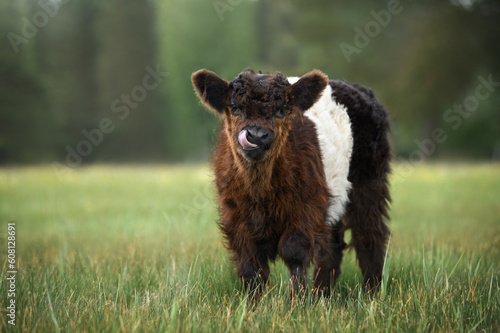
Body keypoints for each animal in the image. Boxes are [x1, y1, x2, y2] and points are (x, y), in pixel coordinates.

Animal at [191, 68, 390, 296]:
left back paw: (371, 293)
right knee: (333, 245)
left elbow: (294, 252)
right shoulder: (235, 214)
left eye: (282, 110)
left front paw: (298, 301)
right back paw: (322, 295)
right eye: (235, 108)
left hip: (370, 180)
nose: (256, 136)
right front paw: (252, 303)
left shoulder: (305, 208)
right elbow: (250, 264)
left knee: (369, 234)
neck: (260, 191)